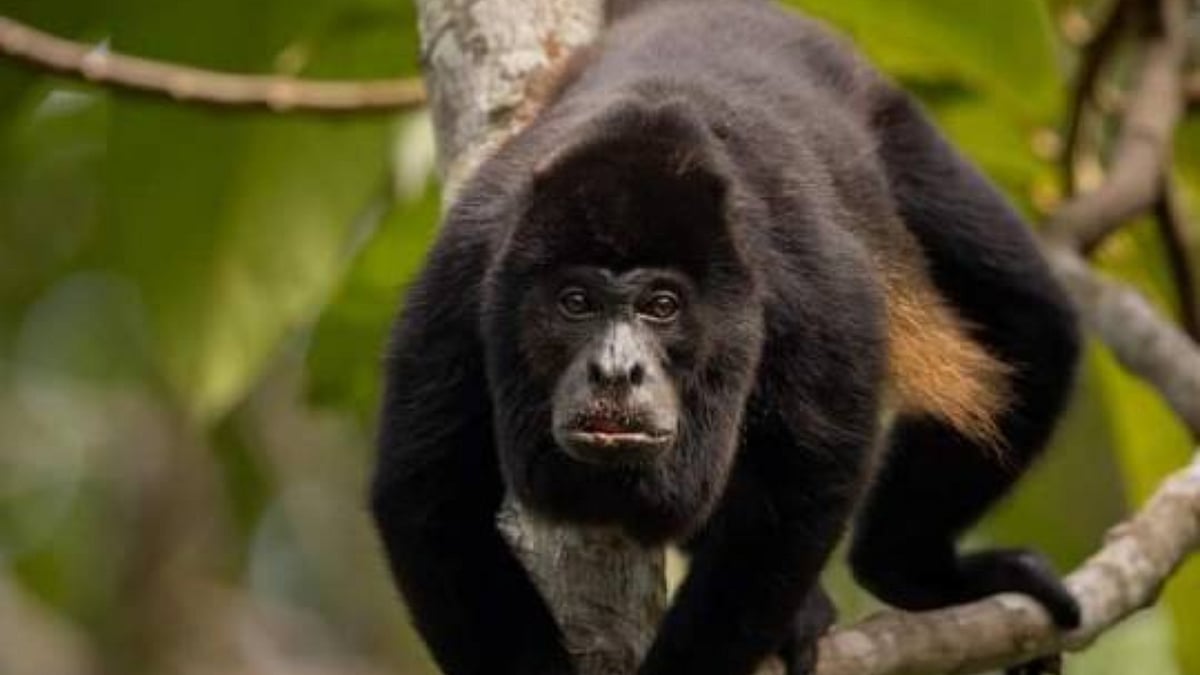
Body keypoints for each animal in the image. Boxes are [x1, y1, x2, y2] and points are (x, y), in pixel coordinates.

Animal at [370, 1, 1082, 674]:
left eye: (662, 307)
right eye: (575, 303)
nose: (615, 371)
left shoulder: (818, 297)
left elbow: (797, 495)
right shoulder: (462, 281)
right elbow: (427, 497)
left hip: (894, 121)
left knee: (1033, 320)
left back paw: (913, 571)